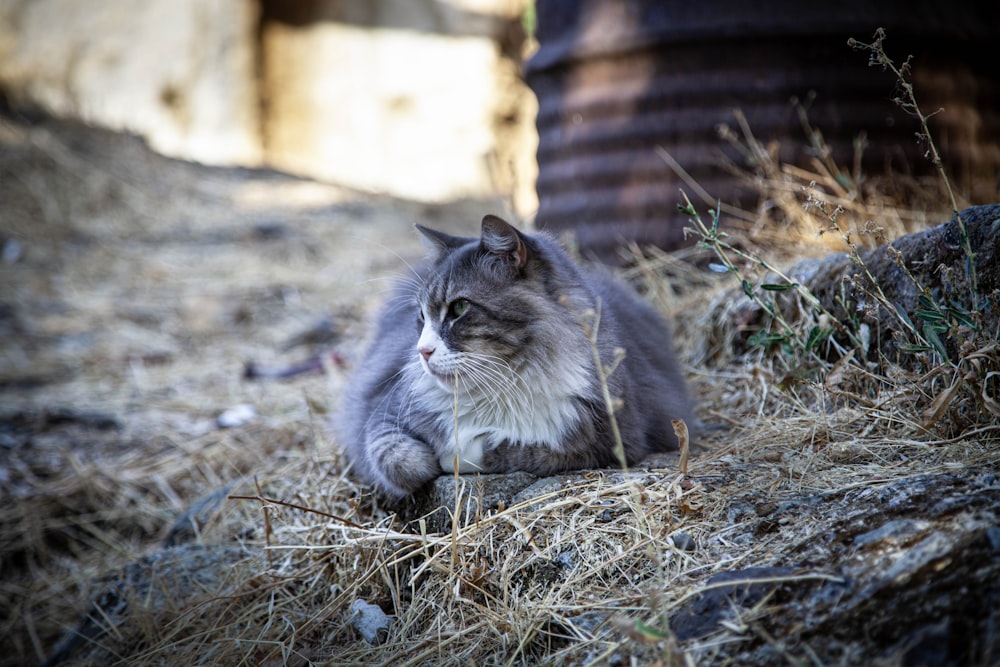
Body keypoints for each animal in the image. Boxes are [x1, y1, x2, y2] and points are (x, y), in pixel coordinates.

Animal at [334, 214, 688, 496]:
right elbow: (398, 458)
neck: (500, 383)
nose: (423, 351)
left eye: (459, 308)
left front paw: (463, 453)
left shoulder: (614, 440)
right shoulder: (381, 412)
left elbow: (522, 450)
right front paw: (434, 458)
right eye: (421, 316)